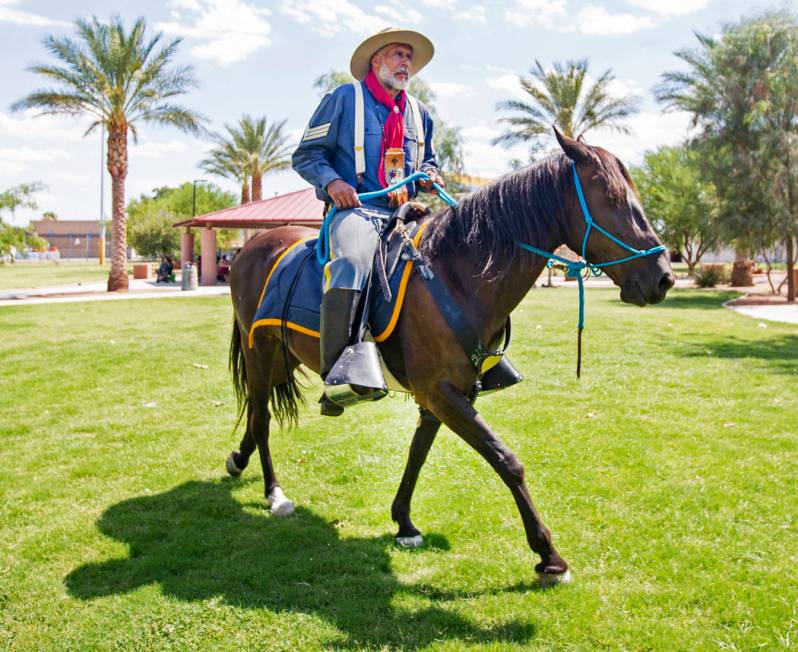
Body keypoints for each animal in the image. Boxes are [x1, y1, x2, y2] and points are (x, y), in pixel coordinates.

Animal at [225, 131, 676, 584]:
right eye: (613, 198)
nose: (663, 277)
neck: (457, 277)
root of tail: (254, 247)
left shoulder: (448, 393)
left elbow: (418, 453)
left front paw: (403, 522)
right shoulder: (440, 392)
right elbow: (506, 460)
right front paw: (549, 556)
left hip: (283, 355)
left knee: (257, 412)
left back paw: (239, 459)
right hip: (258, 350)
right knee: (261, 417)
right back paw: (274, 493)